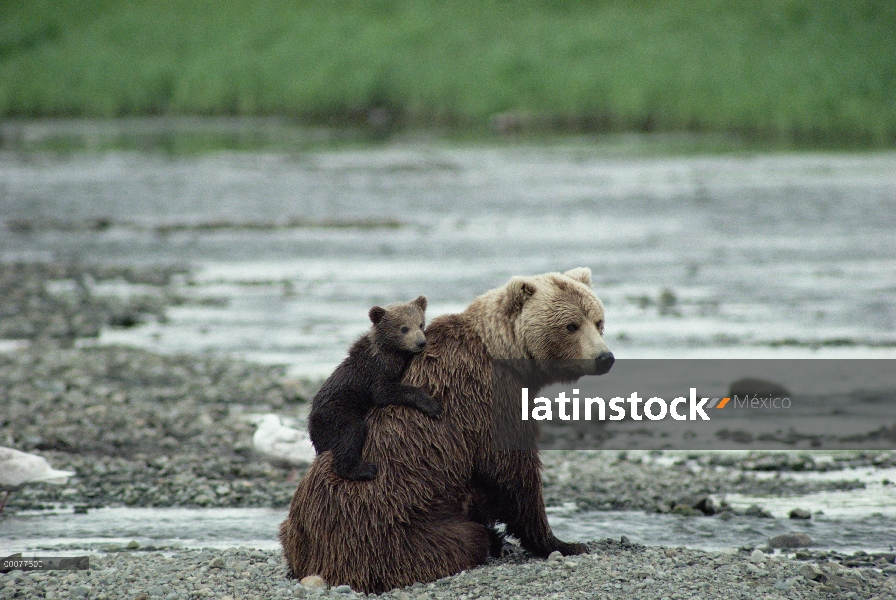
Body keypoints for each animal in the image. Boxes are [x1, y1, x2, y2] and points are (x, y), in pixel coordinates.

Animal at [308, 296, 440, 482]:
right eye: (404, 328)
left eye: (420, 324)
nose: (420, 342)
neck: (390, 350)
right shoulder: (375, 371)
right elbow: (384, 392)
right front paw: (431, 404)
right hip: (336, 413)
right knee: (349, 434)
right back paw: (362, 470)